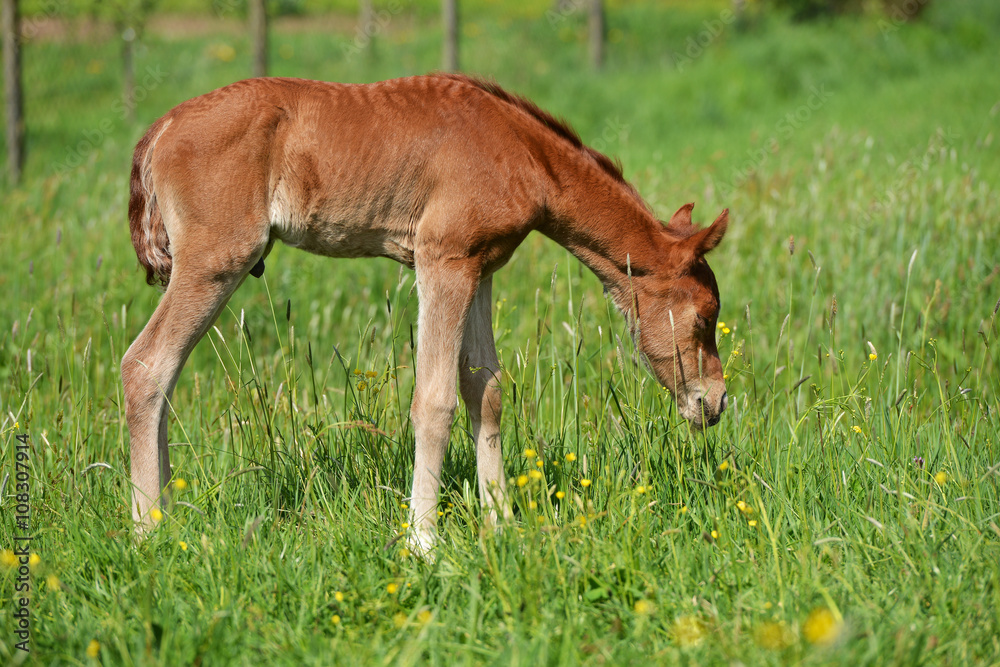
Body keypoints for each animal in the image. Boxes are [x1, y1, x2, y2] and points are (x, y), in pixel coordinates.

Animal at [127, 74, 736, 552]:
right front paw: (423, 541)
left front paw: (500, 524)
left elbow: (484, 390)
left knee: (165, 375)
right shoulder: (442, 259)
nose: (716, 402)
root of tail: (162, 128)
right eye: (705, 316)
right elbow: (435, 399)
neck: (521, 151)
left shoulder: (480, 267)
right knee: (146, 365)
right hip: (217, 259)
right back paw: (147, 529)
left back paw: (166, 515)